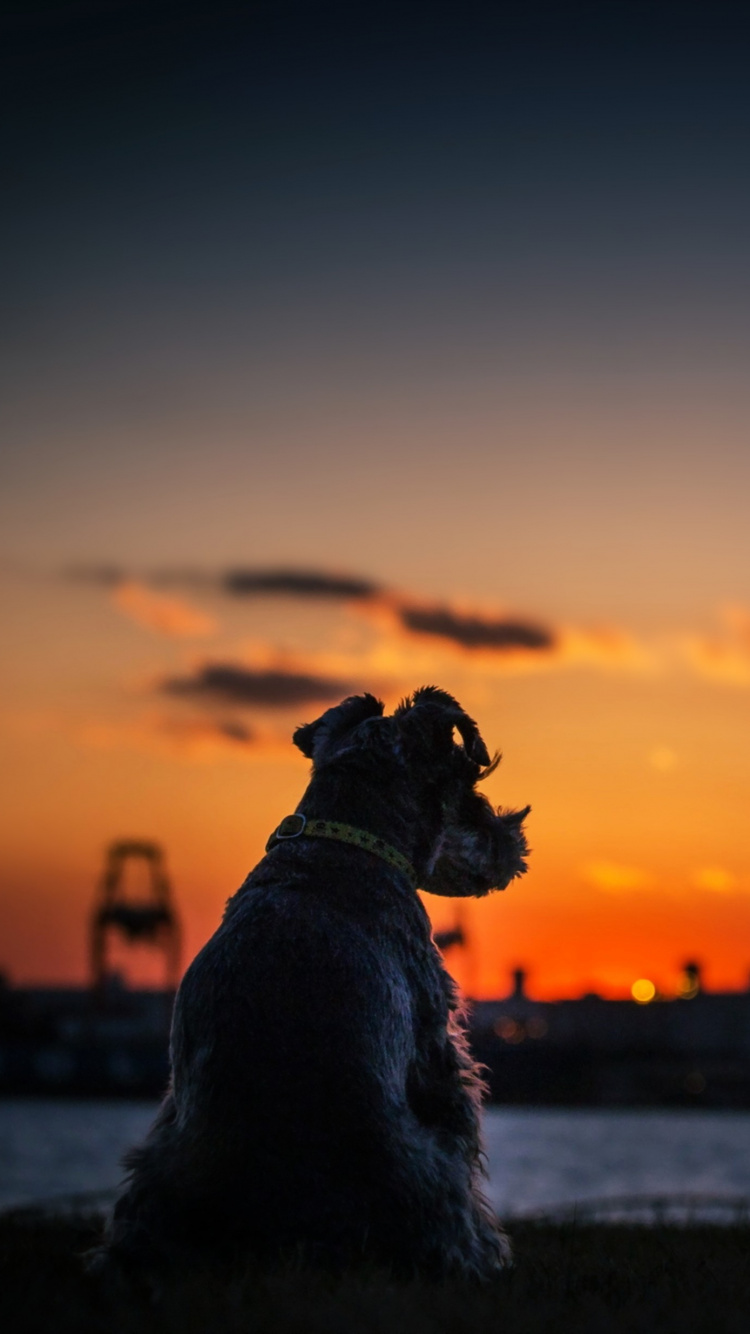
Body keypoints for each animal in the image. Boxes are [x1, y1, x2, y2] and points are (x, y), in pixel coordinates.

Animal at [94, 688, 525, 1280]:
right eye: (468, 783)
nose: (511, 842)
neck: (342, 839)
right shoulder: (436, 1051)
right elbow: (465, 1138)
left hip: (152, 1170)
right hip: (421, 1169)